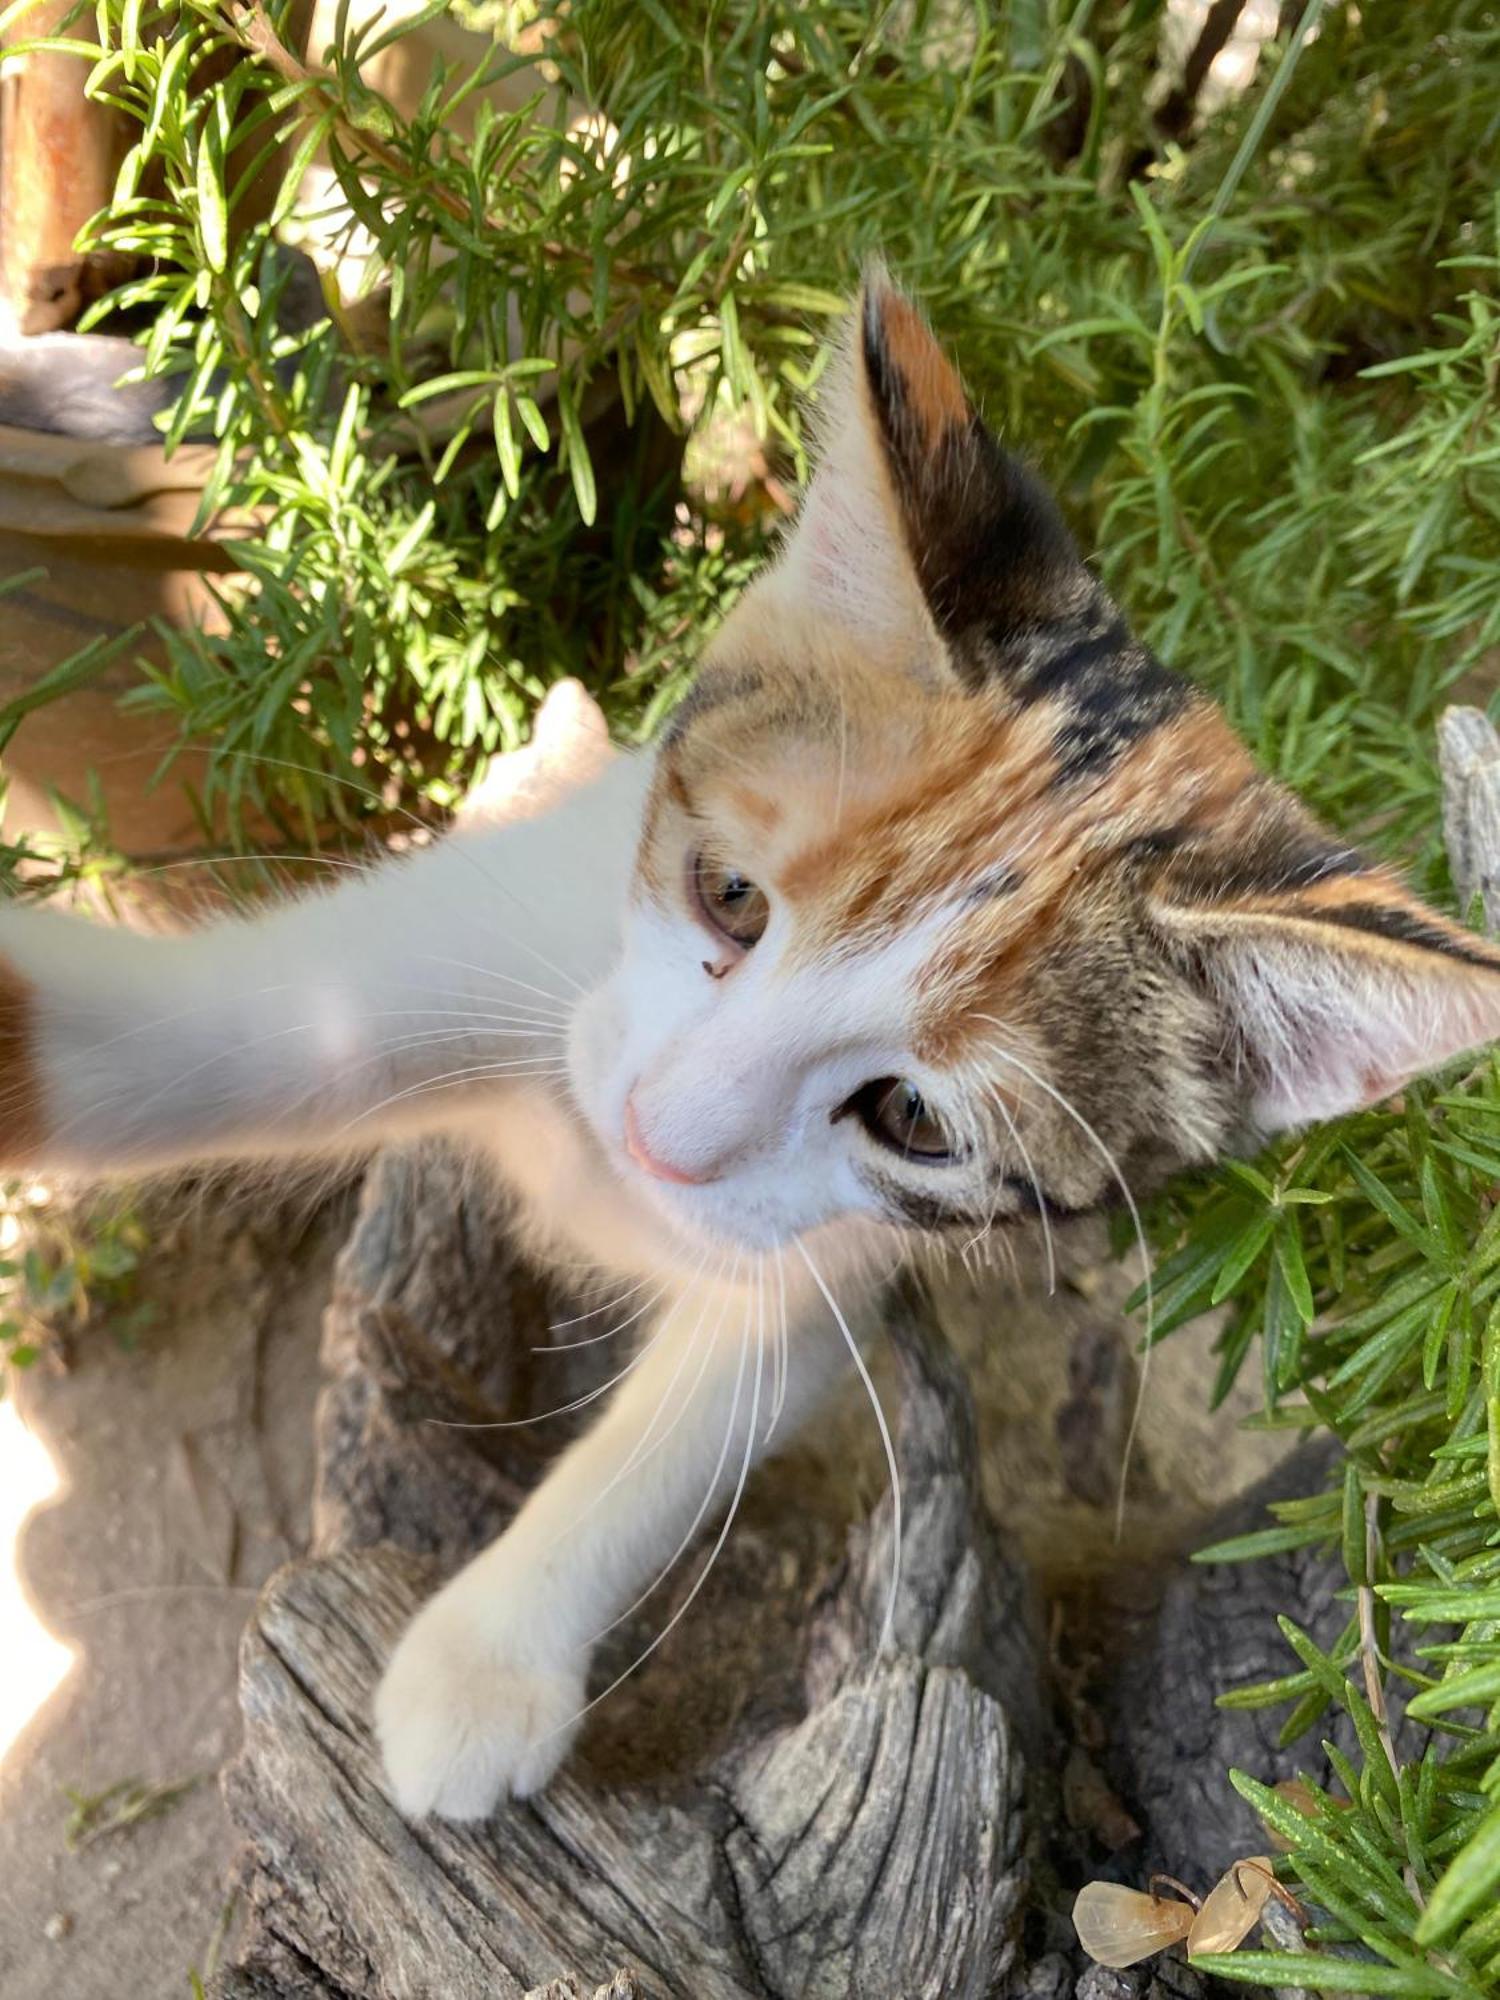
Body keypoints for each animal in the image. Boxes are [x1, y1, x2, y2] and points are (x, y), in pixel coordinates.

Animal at [2, 274, 1500, 1824]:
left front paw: (486, 1656)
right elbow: (200, 1031)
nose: (650, 1139)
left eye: (915, 1120)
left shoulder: (829, 1267)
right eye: (727, 894)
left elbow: (694, 1421)